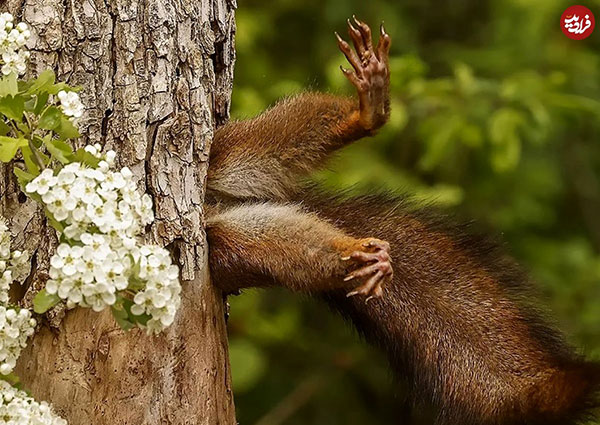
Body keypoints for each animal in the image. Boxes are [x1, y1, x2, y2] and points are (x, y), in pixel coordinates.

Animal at [204, 16, 596, 424]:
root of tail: (217, 204)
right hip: (228, 242)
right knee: (282, 245)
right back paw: (356, 255)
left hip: (226, 152)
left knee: (272, 140)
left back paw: (368, 114)